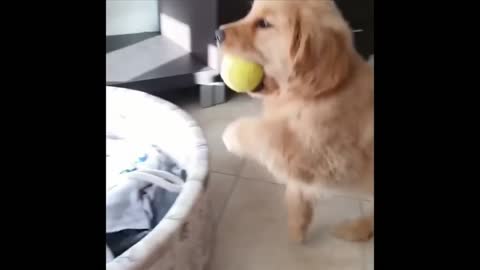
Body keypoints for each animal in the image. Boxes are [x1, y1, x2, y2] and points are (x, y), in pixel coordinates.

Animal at [216, 0, 374, 244]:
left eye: (264, 24)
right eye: (250, 13)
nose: (217, 34)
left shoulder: (327, 156)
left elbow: (269, 134)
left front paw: (233, 134)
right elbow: (296, 187)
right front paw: (298, 222)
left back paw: (353, 229)